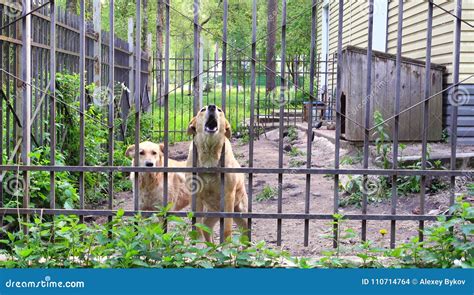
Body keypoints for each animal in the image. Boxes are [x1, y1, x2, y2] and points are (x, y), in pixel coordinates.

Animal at [187, 104, 250, 243]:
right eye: (202, 110)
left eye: (220, 110)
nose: (212, 107)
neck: (210, 153)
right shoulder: (196, 196)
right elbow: (197, 227)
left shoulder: (228, 195)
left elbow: (227, 228)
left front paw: (226, 245)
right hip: (212, 214)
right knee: (206, 228)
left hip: (241, 213)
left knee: (246, 235)